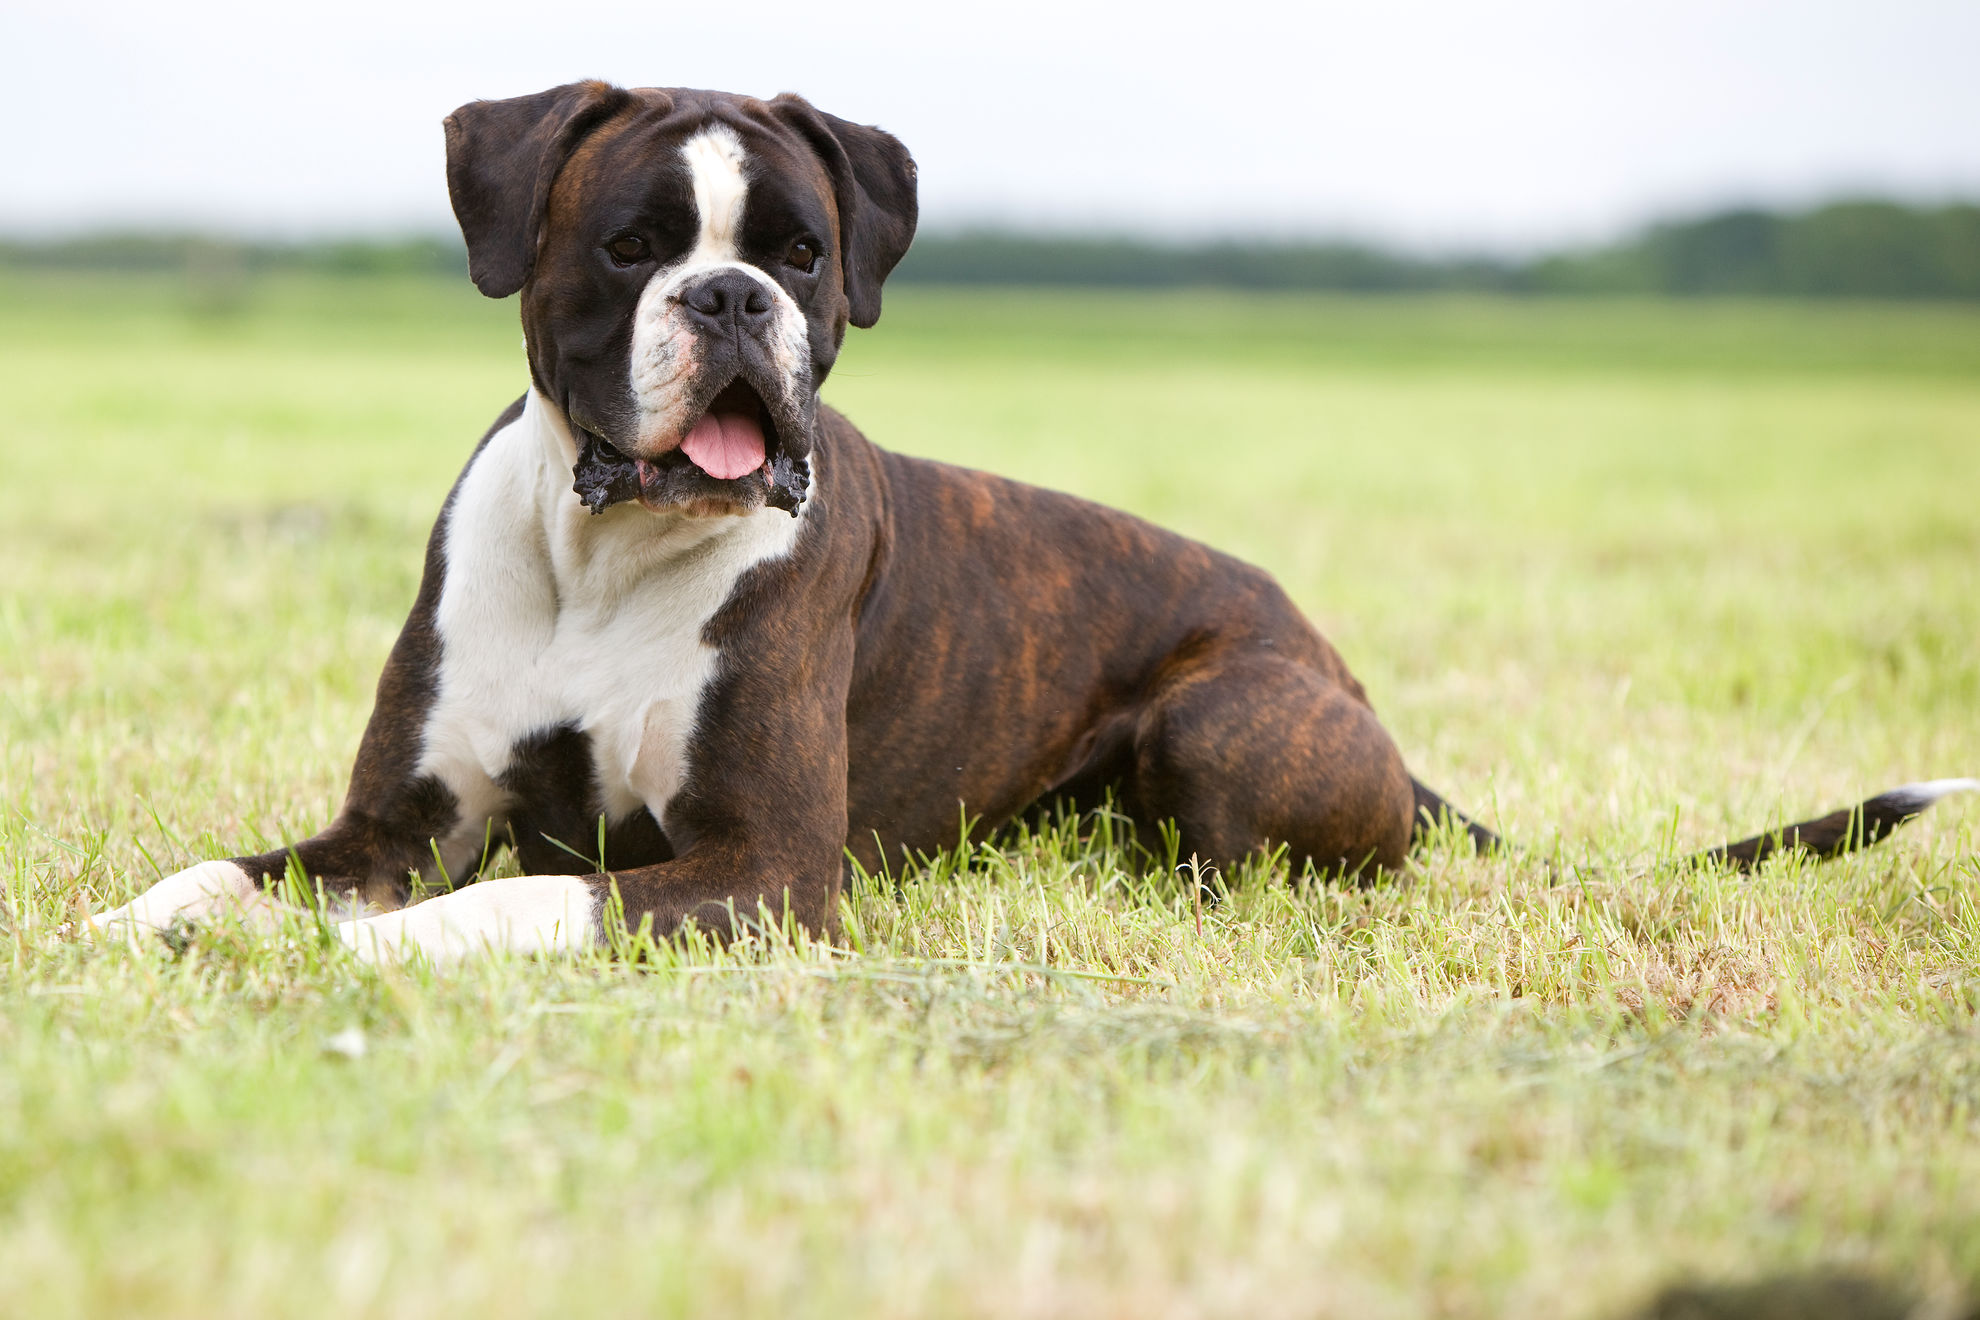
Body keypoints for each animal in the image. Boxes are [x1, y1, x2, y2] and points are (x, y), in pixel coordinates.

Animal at [85, 85, 1972, 969]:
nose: (734, 300)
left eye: (806, 252)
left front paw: (376, 954)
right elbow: (225, 872)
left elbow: (528, 900)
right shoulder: (392, 820)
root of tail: (1352, 680)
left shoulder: (765, 871)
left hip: (1226, 711)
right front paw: (124, 931)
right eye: (630, 247)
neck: (601, 556)